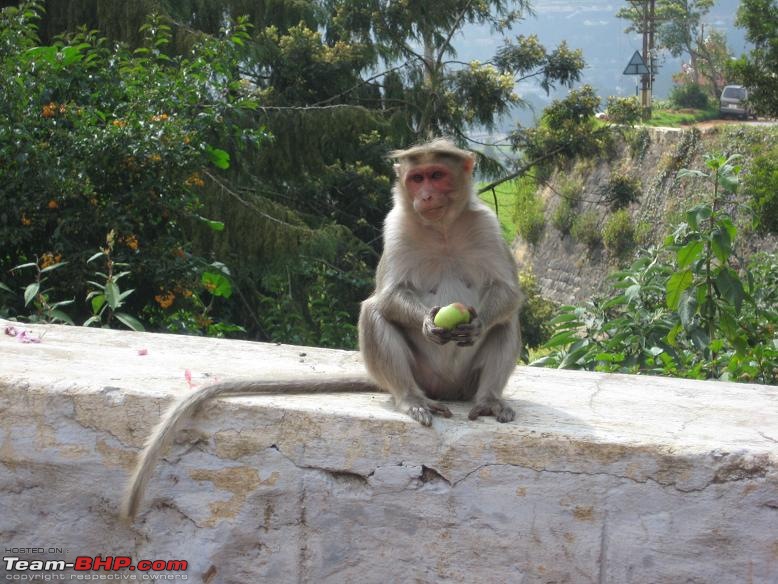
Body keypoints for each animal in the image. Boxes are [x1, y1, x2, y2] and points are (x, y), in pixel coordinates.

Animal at [119, 138, 520, 520]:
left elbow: (508, 293)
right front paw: (426, 322)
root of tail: (445, 389)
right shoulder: (396, 226)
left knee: (506, 323)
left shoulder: (486, 224)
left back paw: (488, 400)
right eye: (416, 178)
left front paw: (475, 324)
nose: (426, 196)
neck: (442, 230)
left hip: (464, 382)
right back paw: (411, 400)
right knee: (374, 312)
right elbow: (388, 296)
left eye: (437, 175)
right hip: (422, 375)